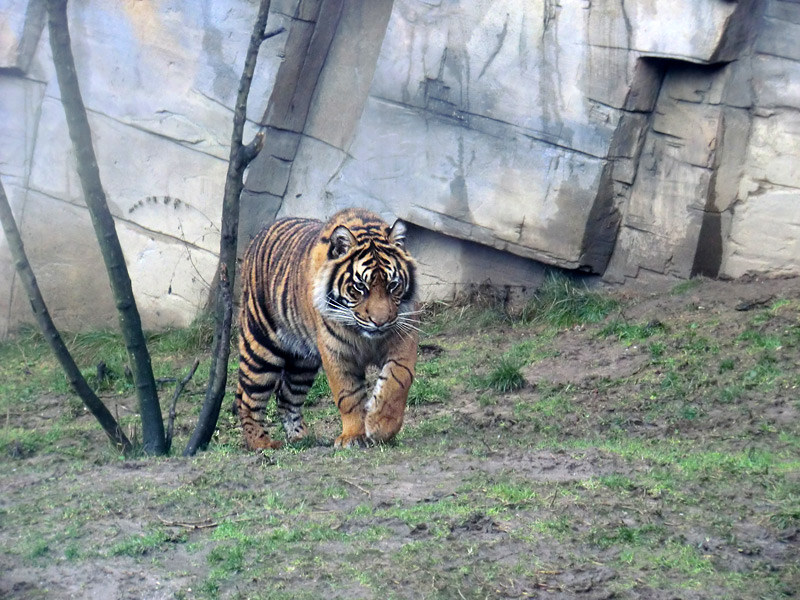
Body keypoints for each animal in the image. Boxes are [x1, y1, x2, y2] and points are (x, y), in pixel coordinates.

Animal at [236, 209, 418, 448]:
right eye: (360, 287)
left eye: (393, 285)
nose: (380, 322)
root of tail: (257, 237)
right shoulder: (337, 353)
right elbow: (348, 396)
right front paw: (353, 436)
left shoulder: (403, 338)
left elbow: (397, 381)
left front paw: (380, 426)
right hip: (261, 348)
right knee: (247, 398)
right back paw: (262, 444)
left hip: (302, 363)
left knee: (286, 397)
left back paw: (302, 438)